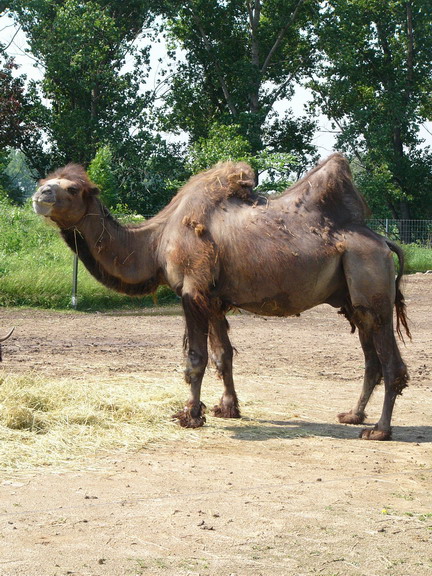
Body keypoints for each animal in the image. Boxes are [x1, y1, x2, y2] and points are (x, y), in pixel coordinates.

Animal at [32, 154, 410, 440]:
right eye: (46, 180)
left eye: (73, 188)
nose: (40, 194)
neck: (155, 243)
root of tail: (383, 242)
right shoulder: (213, 299)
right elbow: (222, 356)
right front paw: (227, 409)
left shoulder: (191, 290)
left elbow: (196, 358)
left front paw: (190, 416)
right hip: (353, 300)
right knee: (371, 360)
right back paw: (353, 415)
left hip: (371, 281)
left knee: (390, 362)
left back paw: (379, 430)